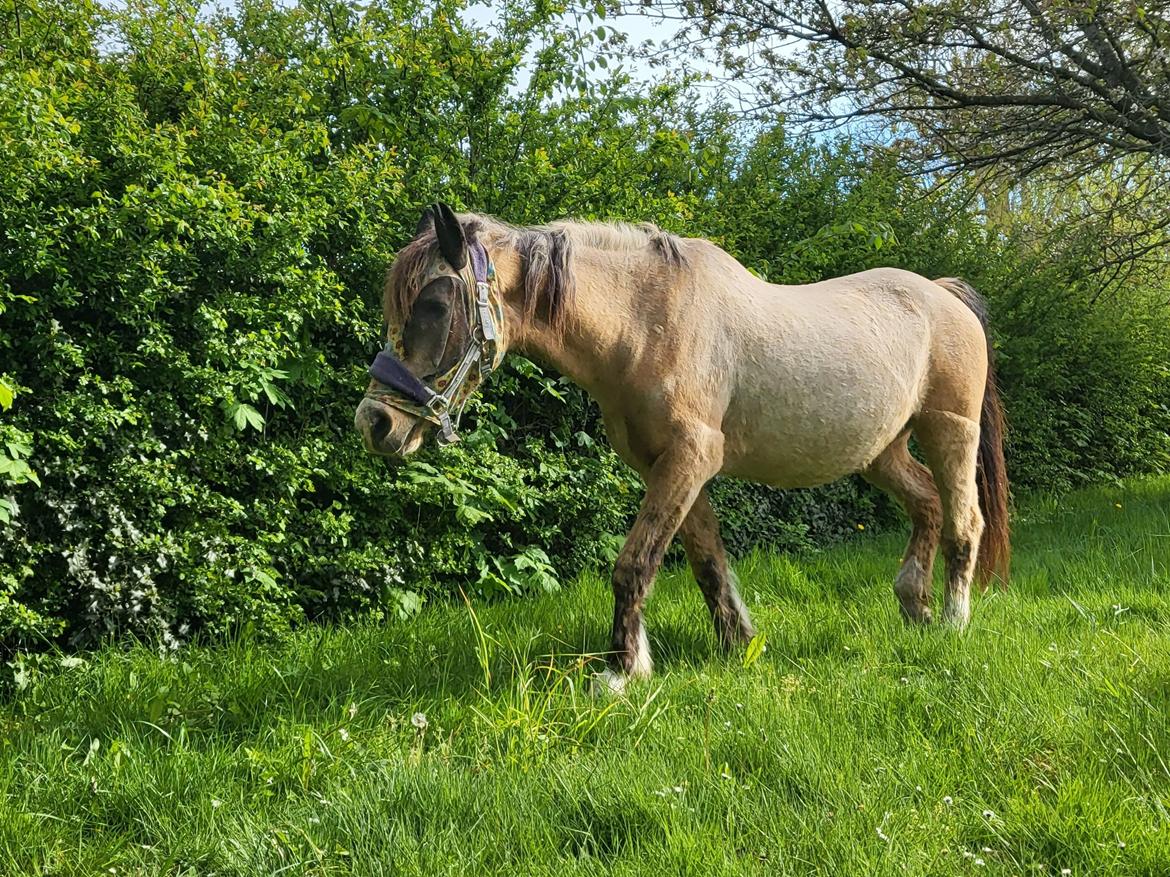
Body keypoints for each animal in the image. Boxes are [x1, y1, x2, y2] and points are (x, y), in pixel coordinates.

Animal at [353, 204, 1006, 692]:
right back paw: (914, 607)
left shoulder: (690, 459)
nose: (374, 423)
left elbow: (634, 564)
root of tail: (944, 295)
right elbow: (707, 562)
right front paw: (738, 645)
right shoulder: (668, 469)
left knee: (964, 522)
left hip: (950, 432)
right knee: (926, 504)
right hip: (881, 453)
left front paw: (621, 671)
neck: (645, 322)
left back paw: (952, 623)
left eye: (435, 305)